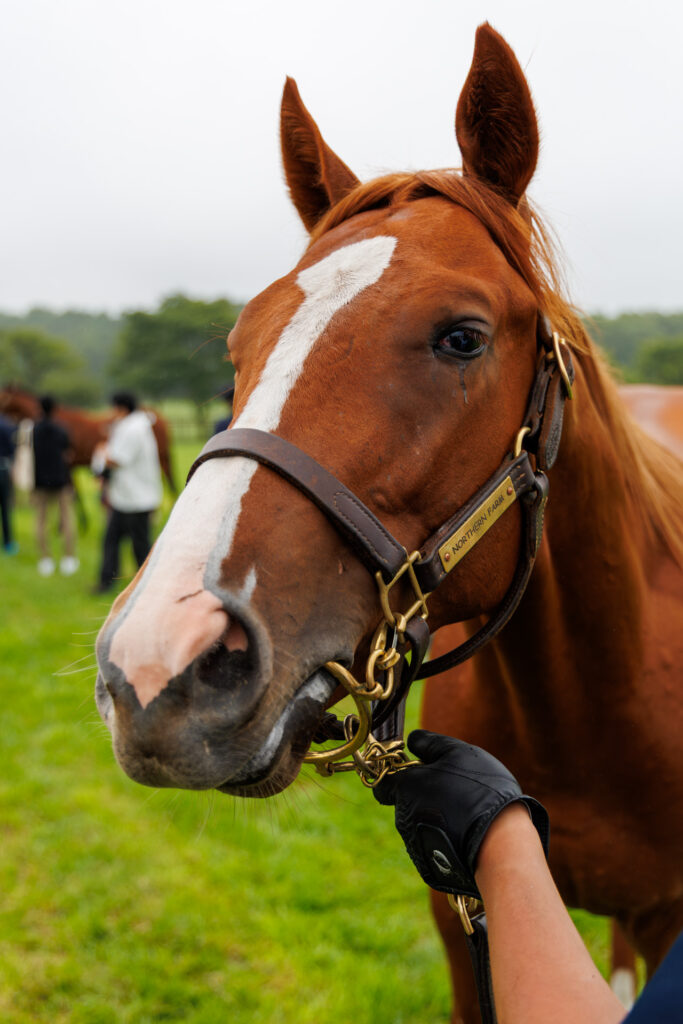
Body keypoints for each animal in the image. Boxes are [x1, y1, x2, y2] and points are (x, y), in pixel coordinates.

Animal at [94, 23, 683, 1024]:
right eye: (239, 345)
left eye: (462, 337)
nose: (156, 664)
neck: (603, 697)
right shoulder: (464, 911)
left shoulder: (663, 920)